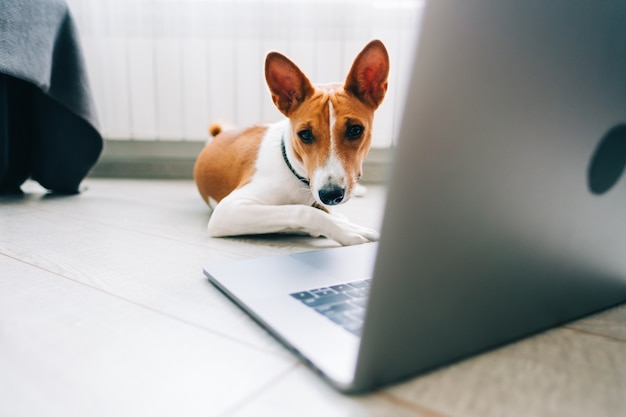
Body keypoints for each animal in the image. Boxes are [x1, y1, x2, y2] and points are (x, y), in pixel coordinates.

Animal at [193, 39, 388, 244]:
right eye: (305, 134)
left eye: (355, 130)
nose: (330, 195)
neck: (296, 175)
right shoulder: (229, 210)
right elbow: (305, 212)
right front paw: (345, 230)